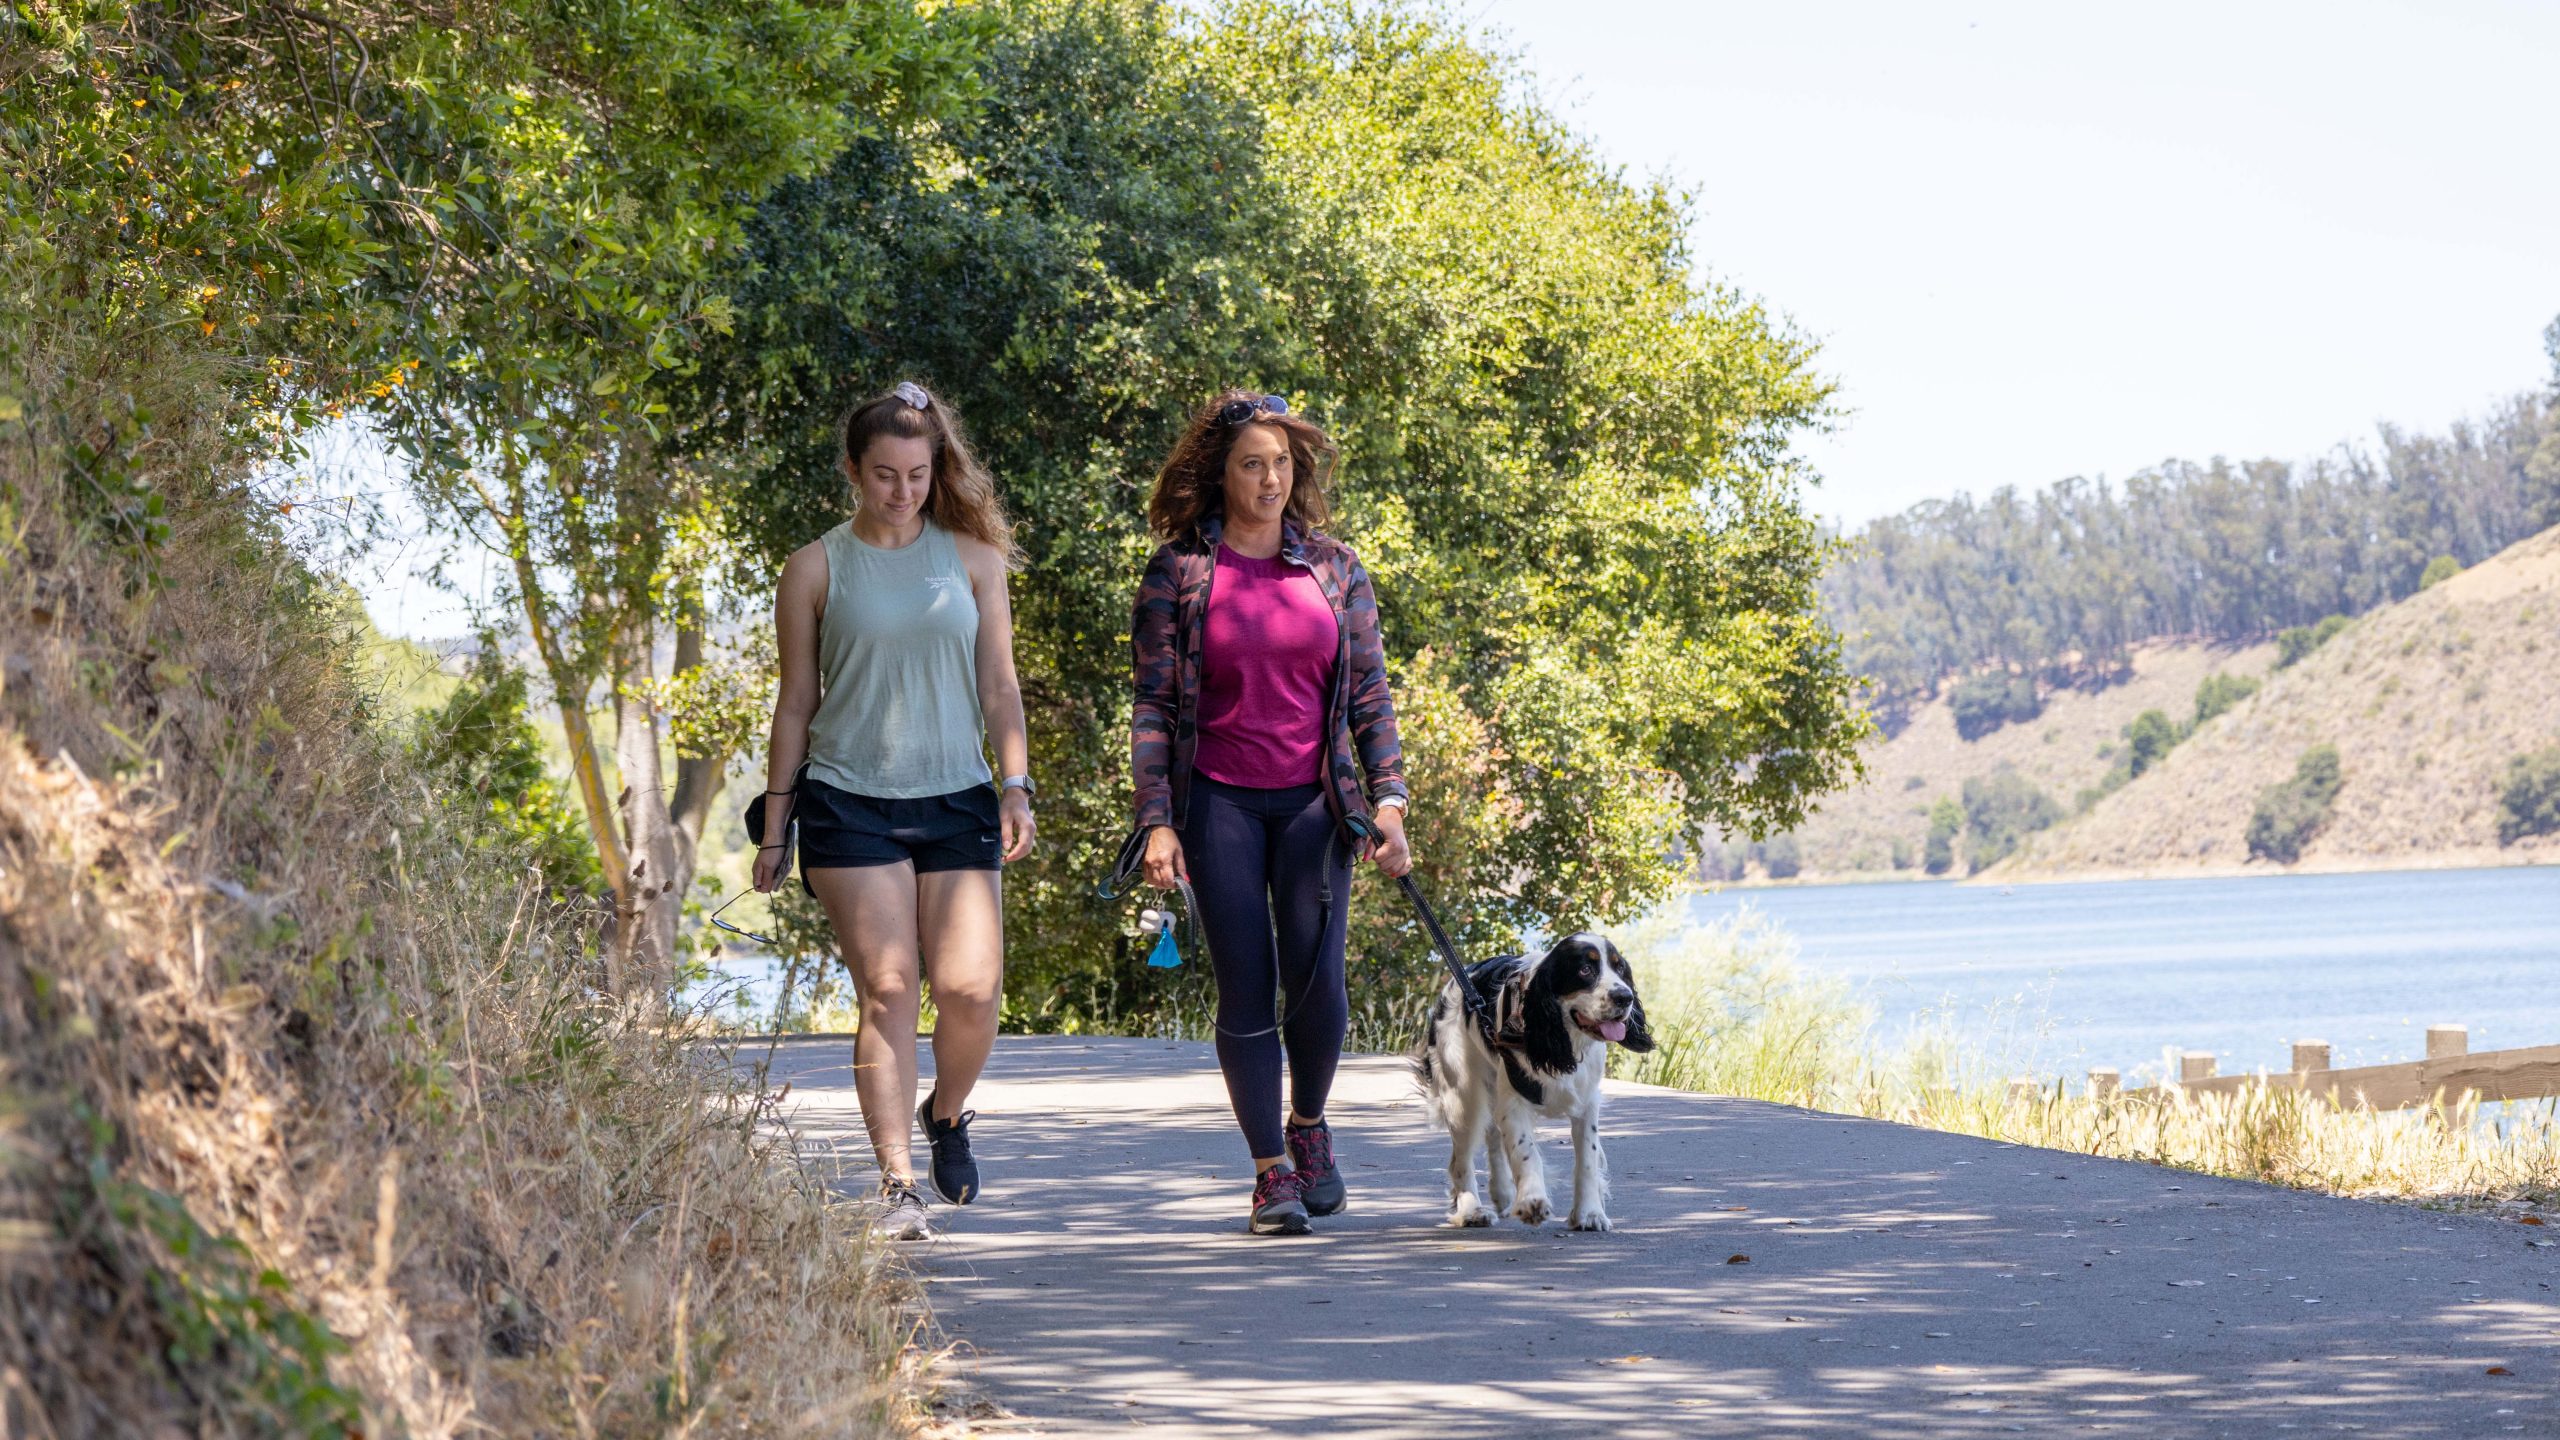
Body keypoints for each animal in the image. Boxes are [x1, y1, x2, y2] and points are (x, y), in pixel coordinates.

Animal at [1413, 937, 1648, 1229]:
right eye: (1585, 970)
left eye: (1620, 968)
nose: (1625, 997)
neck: (1564, 1040)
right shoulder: (1515, 1101)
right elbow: (1525, 1151)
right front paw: (1532, 1201)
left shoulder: (1587, 1102)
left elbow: (1587, 1161)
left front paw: (1590, 1214)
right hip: (1462, 1093)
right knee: (1461, 1160)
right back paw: (1471, 1211)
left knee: (1492, 1136)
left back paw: (1502, 1193)